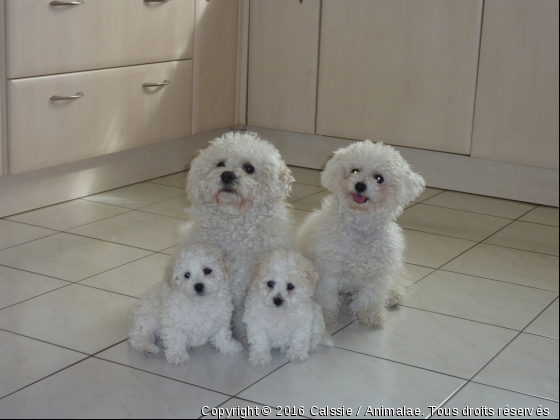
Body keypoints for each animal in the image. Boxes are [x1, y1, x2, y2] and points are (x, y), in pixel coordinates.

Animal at [298, 141, 424, 328]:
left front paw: (369, 314)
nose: (360, 185)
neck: (359, 227)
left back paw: (393, 294)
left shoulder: (377, 271)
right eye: (355, 171)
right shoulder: (329, 267)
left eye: (379, 178)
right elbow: (327, 293)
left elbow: (371, 295)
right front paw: (325, 314)